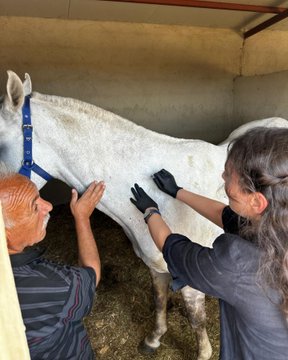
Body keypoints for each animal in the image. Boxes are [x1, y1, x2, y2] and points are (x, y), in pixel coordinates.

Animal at [2, 69, 288, 358]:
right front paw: (154, 339)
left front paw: (203, 352)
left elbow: (196, 318)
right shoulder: (156, 266)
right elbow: (159, 300)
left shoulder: (191, 275)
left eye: (0, 146)